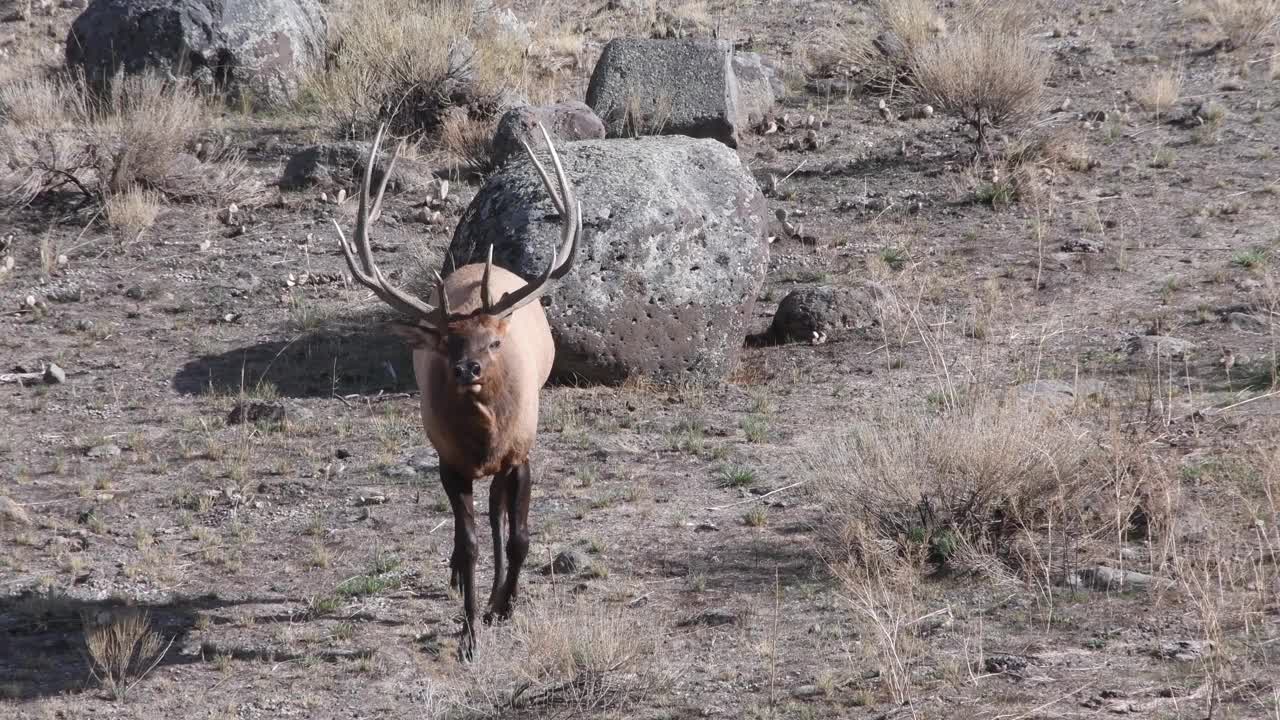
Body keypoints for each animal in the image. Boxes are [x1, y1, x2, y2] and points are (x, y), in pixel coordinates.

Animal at [335, 122, 586, 655]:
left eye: (493, 342)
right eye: (446, 342)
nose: (467, 369)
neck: (484, 438)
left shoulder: (521, 452)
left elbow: (520, 536)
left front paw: (504, 607)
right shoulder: (449, 461)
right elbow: (469, 542)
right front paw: (469, 633)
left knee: (497, 512)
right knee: (473, 523)